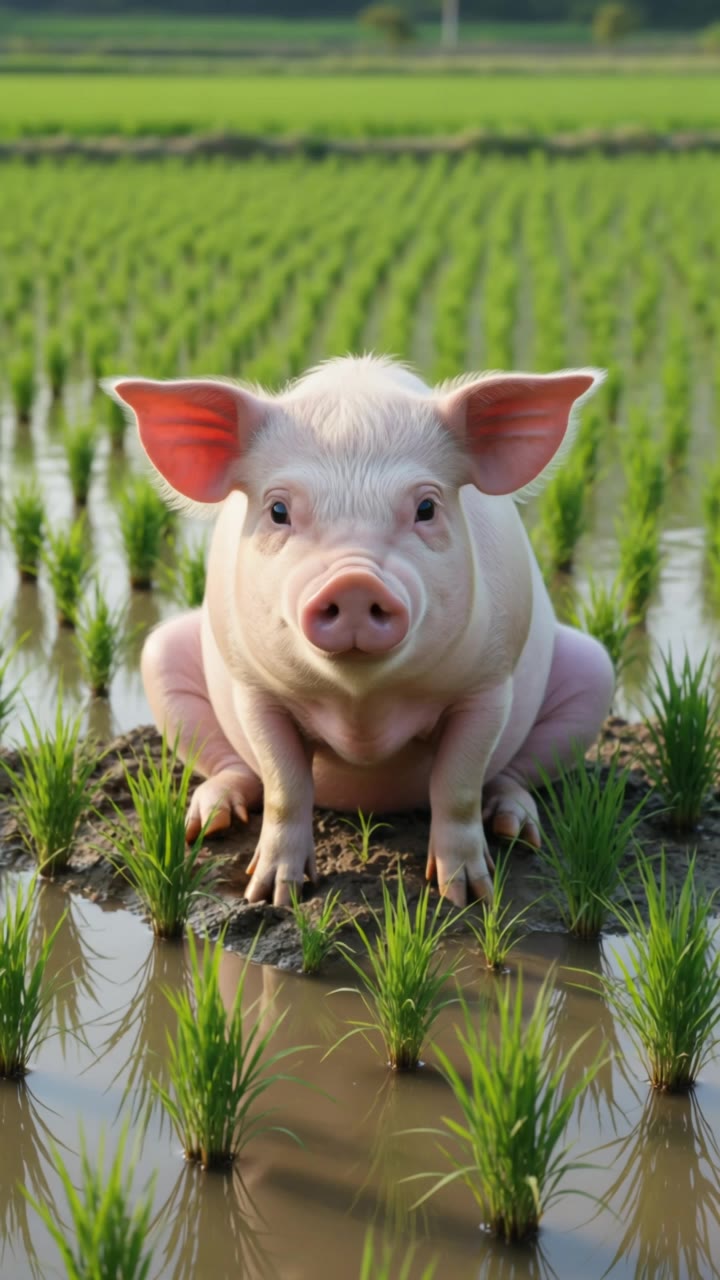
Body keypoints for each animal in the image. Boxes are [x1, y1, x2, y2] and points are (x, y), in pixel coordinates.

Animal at [106, 356, 614, 908]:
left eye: (427, 508)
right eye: (278, 510)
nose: (353, 580)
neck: (362, 706)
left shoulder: (488, 683)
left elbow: (457, 784)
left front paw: (465, 895)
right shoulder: (254, 689)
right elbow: (285, 785)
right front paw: (271, 896)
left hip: (595, 671)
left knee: (514, 773)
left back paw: (515, 829)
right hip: (161, 655)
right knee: (234, 767)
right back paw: (209, 822)